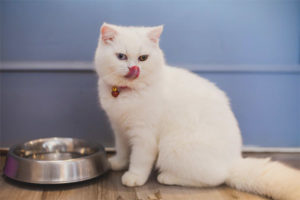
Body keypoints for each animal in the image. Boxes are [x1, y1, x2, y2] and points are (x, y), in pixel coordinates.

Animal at [94, 22, 300, 199]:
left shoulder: (144, 136)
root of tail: (234, 161)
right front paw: (117, 164)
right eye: (121, 56)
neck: (126, 93)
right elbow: (122, 150)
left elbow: (138, 159)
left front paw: (134, 177)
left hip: (172, 146)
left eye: (143, 58)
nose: (134, 68)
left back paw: (167, 177)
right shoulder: (119, 128)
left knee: (215, 178)